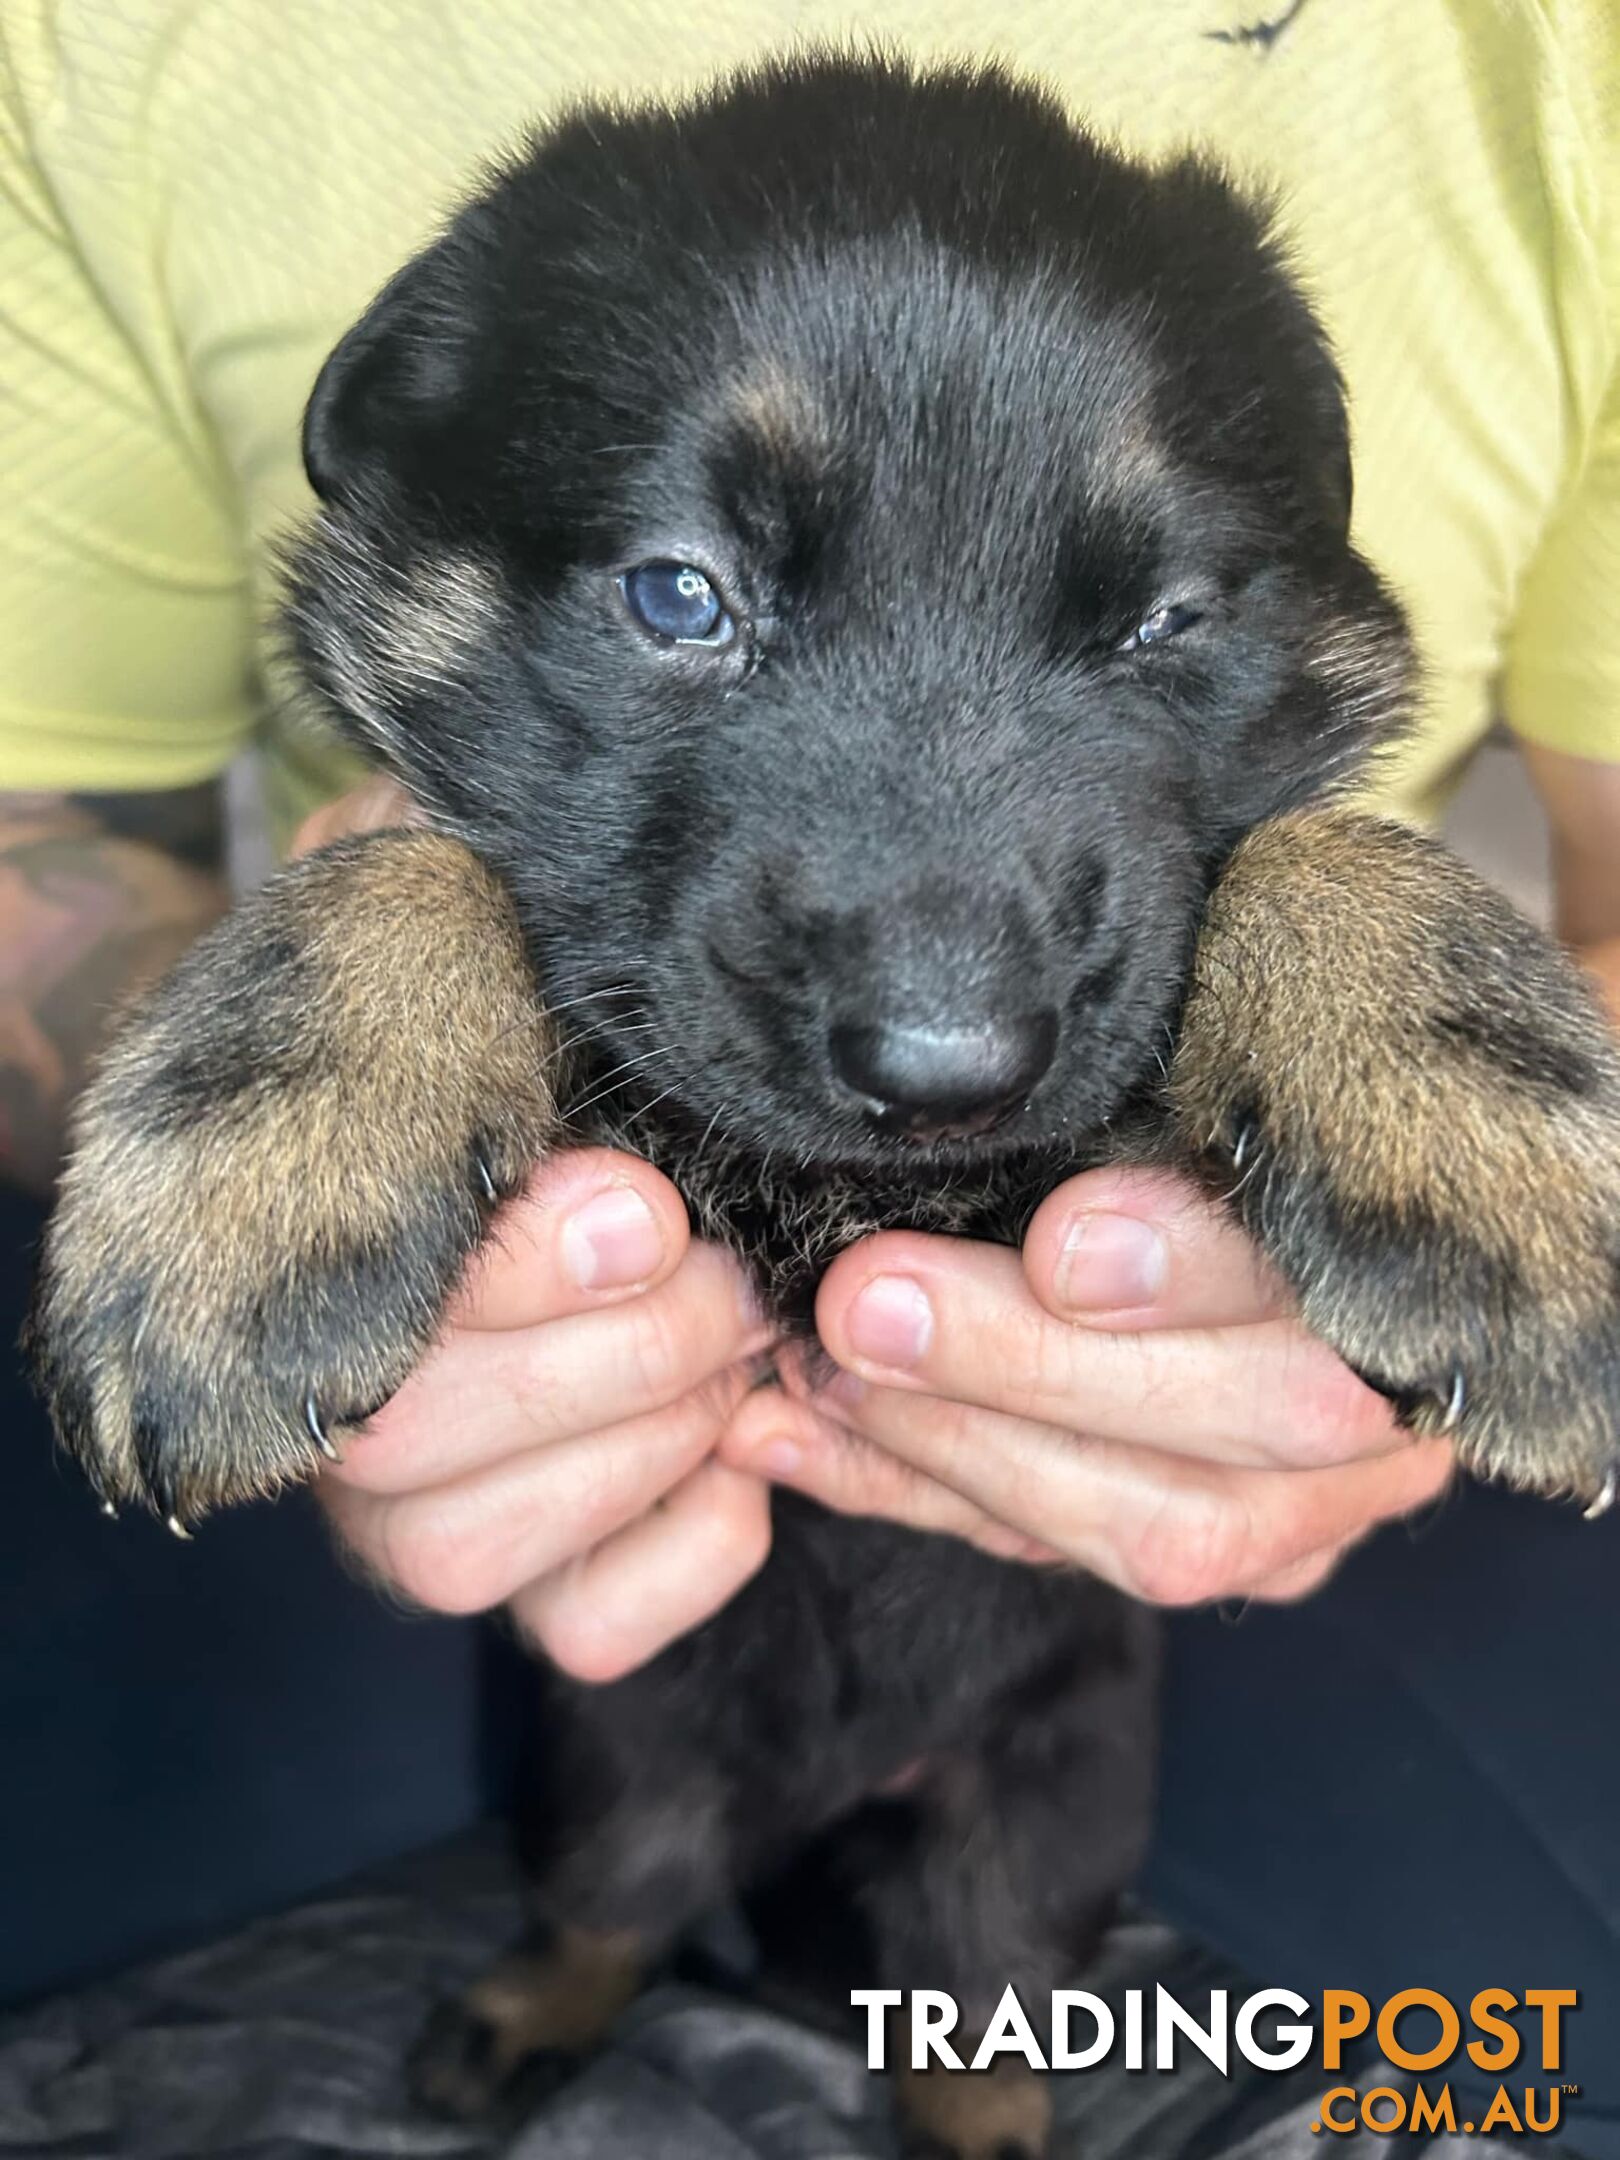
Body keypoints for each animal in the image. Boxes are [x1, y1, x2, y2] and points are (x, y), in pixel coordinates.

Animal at [28, 50, 1620, 2160]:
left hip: (1042, 1815)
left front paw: (1482, 1153)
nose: (946, 1074)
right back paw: (516, 2026)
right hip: (608, 1751)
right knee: (617, 1908)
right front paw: (255, 1179)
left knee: (981, 2013)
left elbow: (1310, 846)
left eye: (1169, 624)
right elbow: (418, 862)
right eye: (679, 598)